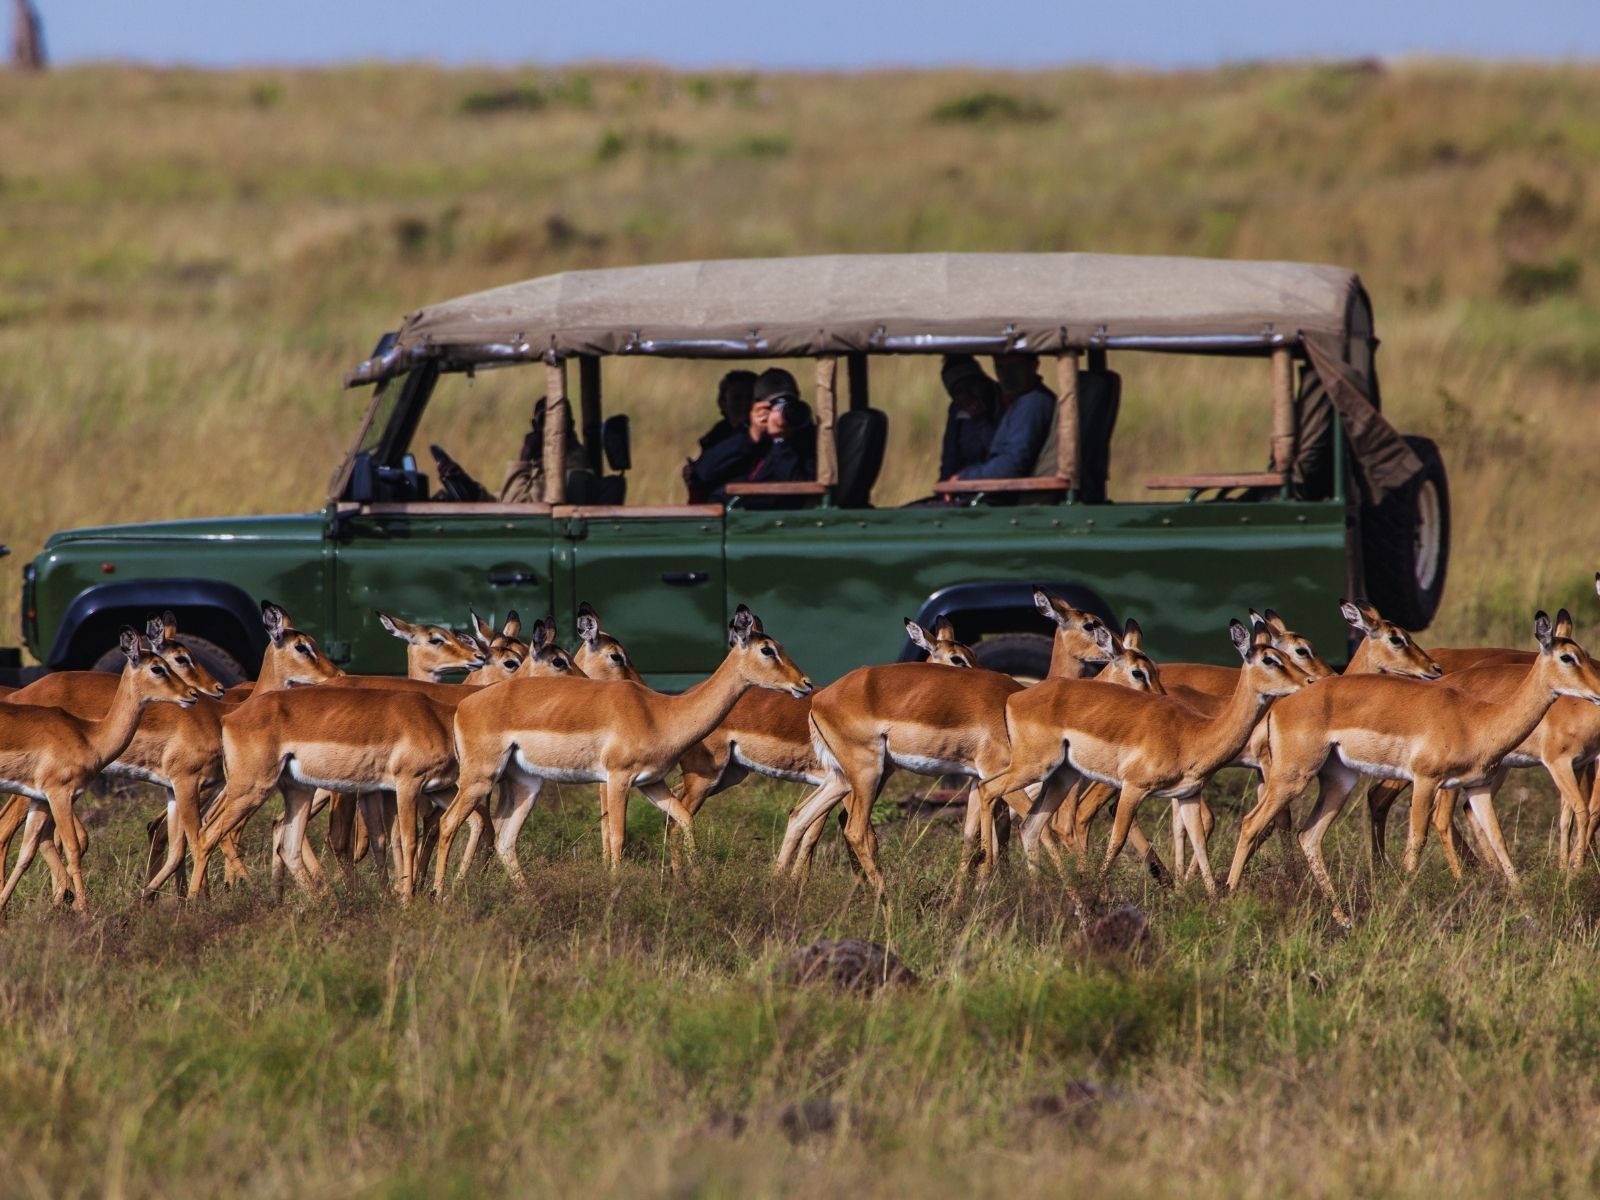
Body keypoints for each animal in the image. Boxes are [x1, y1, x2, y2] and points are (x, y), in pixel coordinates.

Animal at [0, 631, 198, 916]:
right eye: (157, 667)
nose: (191, 694)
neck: (88, 735)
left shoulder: (39, 799)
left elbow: (27, 852)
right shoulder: (59, 794)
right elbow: (73, 847)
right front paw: (82, 908)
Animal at [434, 605, 811, 891]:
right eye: (767, 649)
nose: (805, 684)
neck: (661, 713)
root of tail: (464, 706)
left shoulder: (651, 783)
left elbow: (684, 819)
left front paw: (694, 879)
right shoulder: (617, 779)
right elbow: (617, 837)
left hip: (526, 784)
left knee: (503, 837)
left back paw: (528, 898)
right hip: (480, 779)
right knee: (450, 822)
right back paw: (439, 895)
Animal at [1226, 612, 1600, 921]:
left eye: (1583, 653)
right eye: (1567, 657)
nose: (1597, 691)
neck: (1477, 719)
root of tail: (1280, 704)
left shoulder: (1477, 786)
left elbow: (1499, 840)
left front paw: (1527, 910)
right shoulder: (1425, 780)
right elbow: (1416, 841)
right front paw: (1404, 900)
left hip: (1339, 781)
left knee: (1308, 835)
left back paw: (1341, 916)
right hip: (1294, 777)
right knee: (1251, 823)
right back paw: (1227, 899)